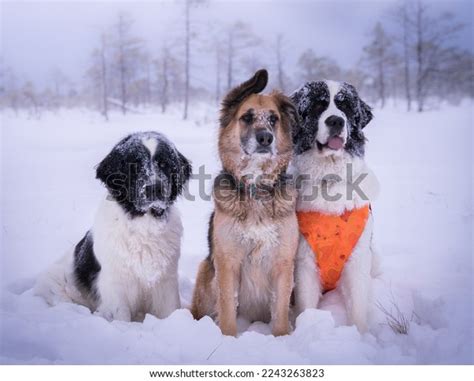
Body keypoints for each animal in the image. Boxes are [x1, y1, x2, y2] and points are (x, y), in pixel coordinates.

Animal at [34, 131, 192, 320]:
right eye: (135, 166)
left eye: (164, 163)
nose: (154, 188)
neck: (143, 224)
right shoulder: (115, 286)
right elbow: (121, 315)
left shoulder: (165, 282)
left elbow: (170, 310)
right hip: (57, 284)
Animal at [191, 69, 298, 336]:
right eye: (247, 118)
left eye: (273, 119)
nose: (265, 138)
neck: (256, 188)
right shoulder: (228, 263)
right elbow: (228, 307)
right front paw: (228, 338)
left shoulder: (283, 264)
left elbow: (280, 311)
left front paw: (282, 337)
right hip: (206, 273)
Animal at [290, 81, 380, 332]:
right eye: (318, 106)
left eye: (345, 107)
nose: (336, 121)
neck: (329, 179)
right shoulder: (304, 263)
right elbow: (306, 304)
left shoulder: (358, 259)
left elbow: (358, 306)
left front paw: (360, 336)